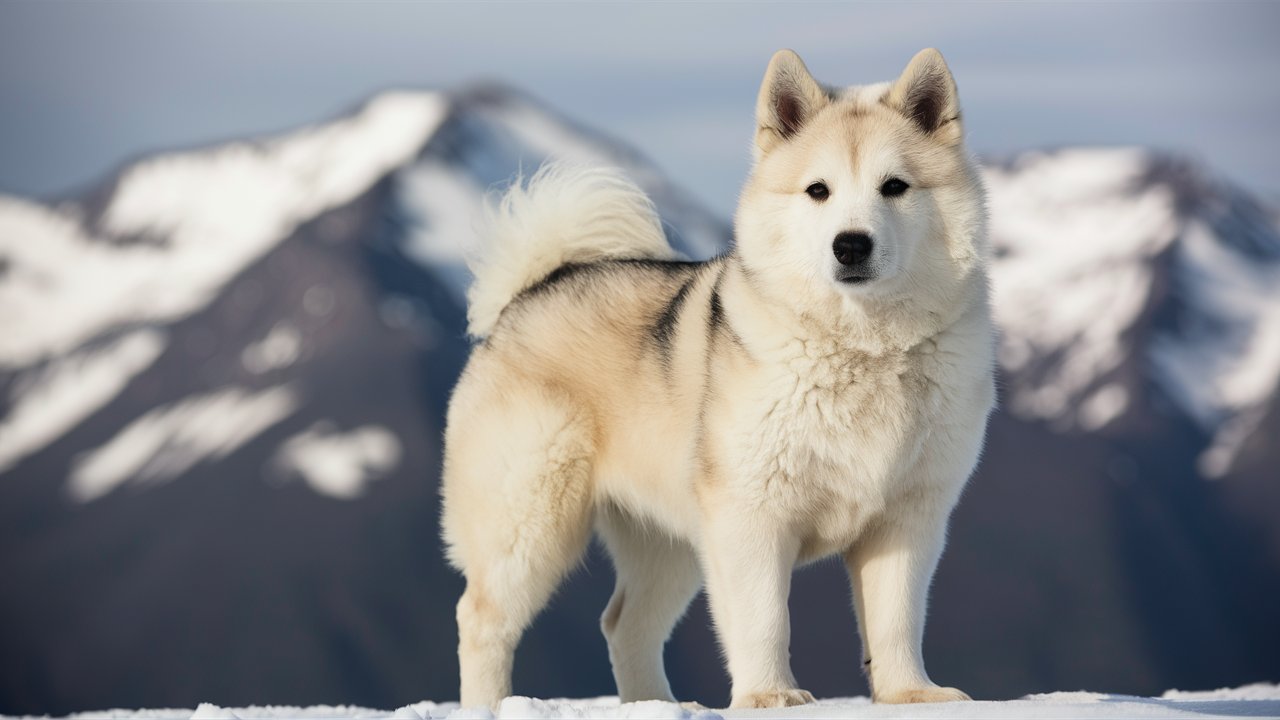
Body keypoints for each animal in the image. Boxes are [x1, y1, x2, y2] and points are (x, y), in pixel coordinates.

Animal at [442, 49, 998, 707]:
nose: (851, 245)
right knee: (483, 621)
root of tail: (525, 295)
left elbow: (896, 620)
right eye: (818, 190)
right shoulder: (749, 513)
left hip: (667, 542)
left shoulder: (908, 518)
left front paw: (911, 694)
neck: (863, 349)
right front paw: (770, 697)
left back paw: (658, 706)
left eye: (895, 186)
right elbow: (764, 618)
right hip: (528, 523)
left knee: (624, 625)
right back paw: (490, 706)